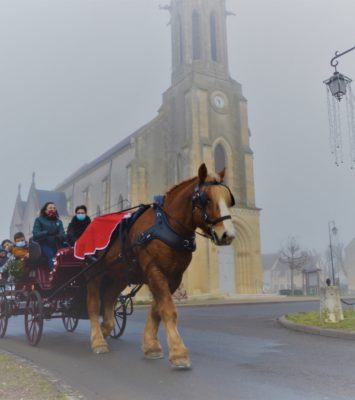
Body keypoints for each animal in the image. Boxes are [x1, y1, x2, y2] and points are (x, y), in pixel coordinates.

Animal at [86, 163, 236, 368]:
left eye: (228, 199)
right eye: (207, 199)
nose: (228, 235)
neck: (167, 225)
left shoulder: (174, 277)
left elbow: (157, 309)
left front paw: (151, 346)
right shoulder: (154, 270)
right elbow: (167, 309)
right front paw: (179, 352)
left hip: (120, 275)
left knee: (109, 297)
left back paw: (106, 328)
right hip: (95, 272)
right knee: (94, 304)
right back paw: (98, 340)